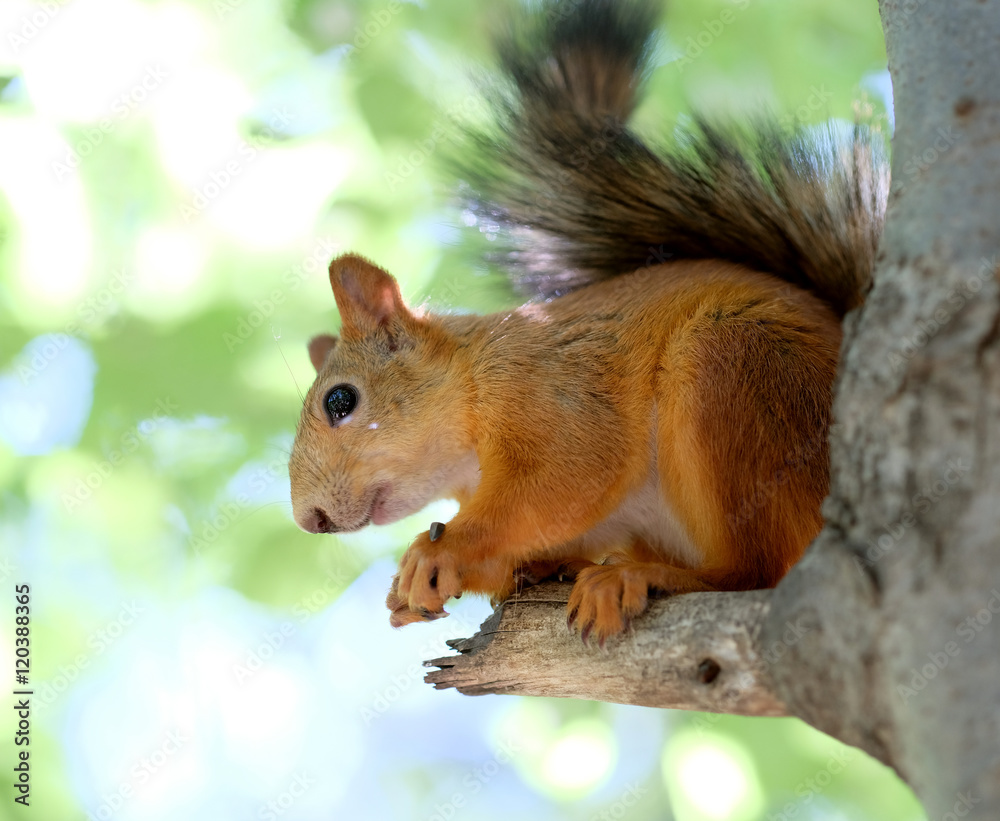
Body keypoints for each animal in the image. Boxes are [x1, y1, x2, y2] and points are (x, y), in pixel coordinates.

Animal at [288, 0, 888, 643]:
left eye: (341, 401)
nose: (309, 519)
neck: (469, 389)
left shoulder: (552, 387)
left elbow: (567, 478)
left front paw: (441, 552)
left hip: (733, 370)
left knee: (756, 571)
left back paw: (638, 577)